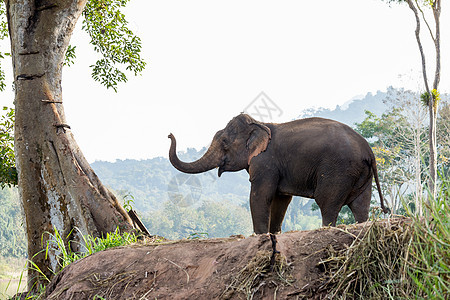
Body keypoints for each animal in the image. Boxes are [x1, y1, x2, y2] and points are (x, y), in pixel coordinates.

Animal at [169, 113, 390, 234]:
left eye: (224, 142)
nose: (169, 134)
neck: (261, 123)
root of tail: (369, 151)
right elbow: (280, 200)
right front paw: (273, 233)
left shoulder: (265, 163)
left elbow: (260, 196)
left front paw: (259, 235)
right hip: (362, 176)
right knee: (360, 206)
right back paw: (362, 225)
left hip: (339, 170)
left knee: (327, 203)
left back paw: (326, 228)